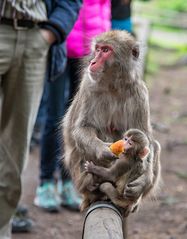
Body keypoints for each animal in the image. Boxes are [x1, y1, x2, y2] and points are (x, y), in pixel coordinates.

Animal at [62, 29, 161, 211]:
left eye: (106, 50)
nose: (92, 61)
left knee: (155, 146)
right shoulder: (88, 85)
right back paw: (95, 186)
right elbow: (82, 128)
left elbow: (146, 136)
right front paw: (103, 150)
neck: (113, 85)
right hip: (80, 179)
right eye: (98, 49)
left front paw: (143, 181)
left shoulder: (140, 92)